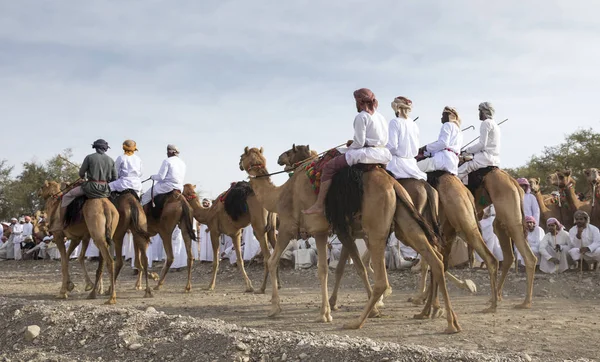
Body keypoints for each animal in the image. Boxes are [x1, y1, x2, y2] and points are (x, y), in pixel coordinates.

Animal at [239, 146, 460, 332]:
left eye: (242, 156)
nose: (279, 158)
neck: (280, 195)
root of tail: (393, 184)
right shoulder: (323, 231)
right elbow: (326, 270)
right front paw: (326, 312)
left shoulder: (287, 227)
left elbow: (273, 261)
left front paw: (275, 308)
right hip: (405, 223)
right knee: (436, 259)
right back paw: (445, 319)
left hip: (376, 228)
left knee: (385, 277)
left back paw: (358, 321)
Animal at [282, 146, 496, 312]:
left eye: (292, 151)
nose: (280, 159)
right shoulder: (356, 232)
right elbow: (348, 265)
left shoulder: (356, 231)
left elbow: (357, 264)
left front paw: (378, 297)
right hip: (443, 227)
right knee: (437, 257)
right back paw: (430, 300)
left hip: (450, 223)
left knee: (441, 256)